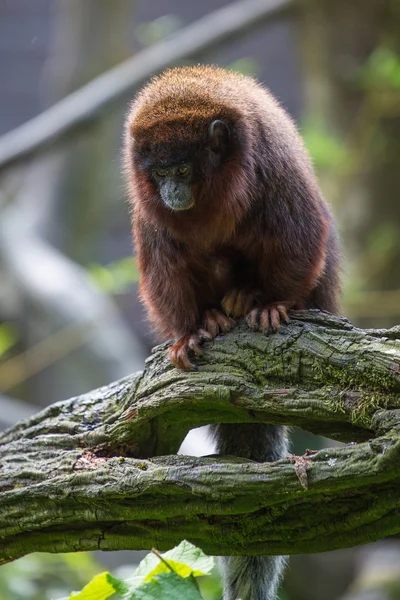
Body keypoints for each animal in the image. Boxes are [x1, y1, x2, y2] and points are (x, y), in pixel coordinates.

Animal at [125, 65, 340, 600]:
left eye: (183, 172)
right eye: (159, 174)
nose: (171, 194)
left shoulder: (270, 164)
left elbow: (297, 230)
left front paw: (274, 302)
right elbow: (164, 260)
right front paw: (187, 332)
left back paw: (246, 298)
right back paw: (214, 316)